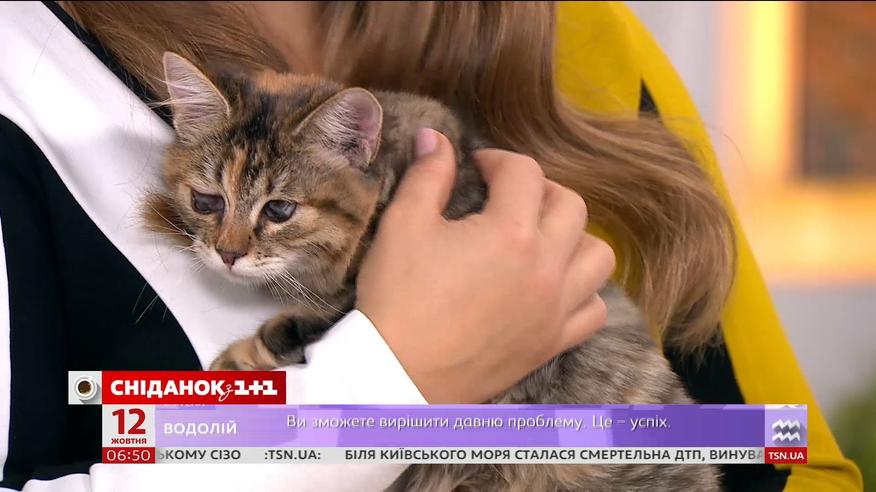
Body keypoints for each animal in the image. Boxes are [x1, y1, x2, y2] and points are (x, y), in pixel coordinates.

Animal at [145, 52, 720, 492]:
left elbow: (284, 331)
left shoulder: (342, 301)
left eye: (280, 210)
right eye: (206, 201)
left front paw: (231, 367)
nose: (227, 253)